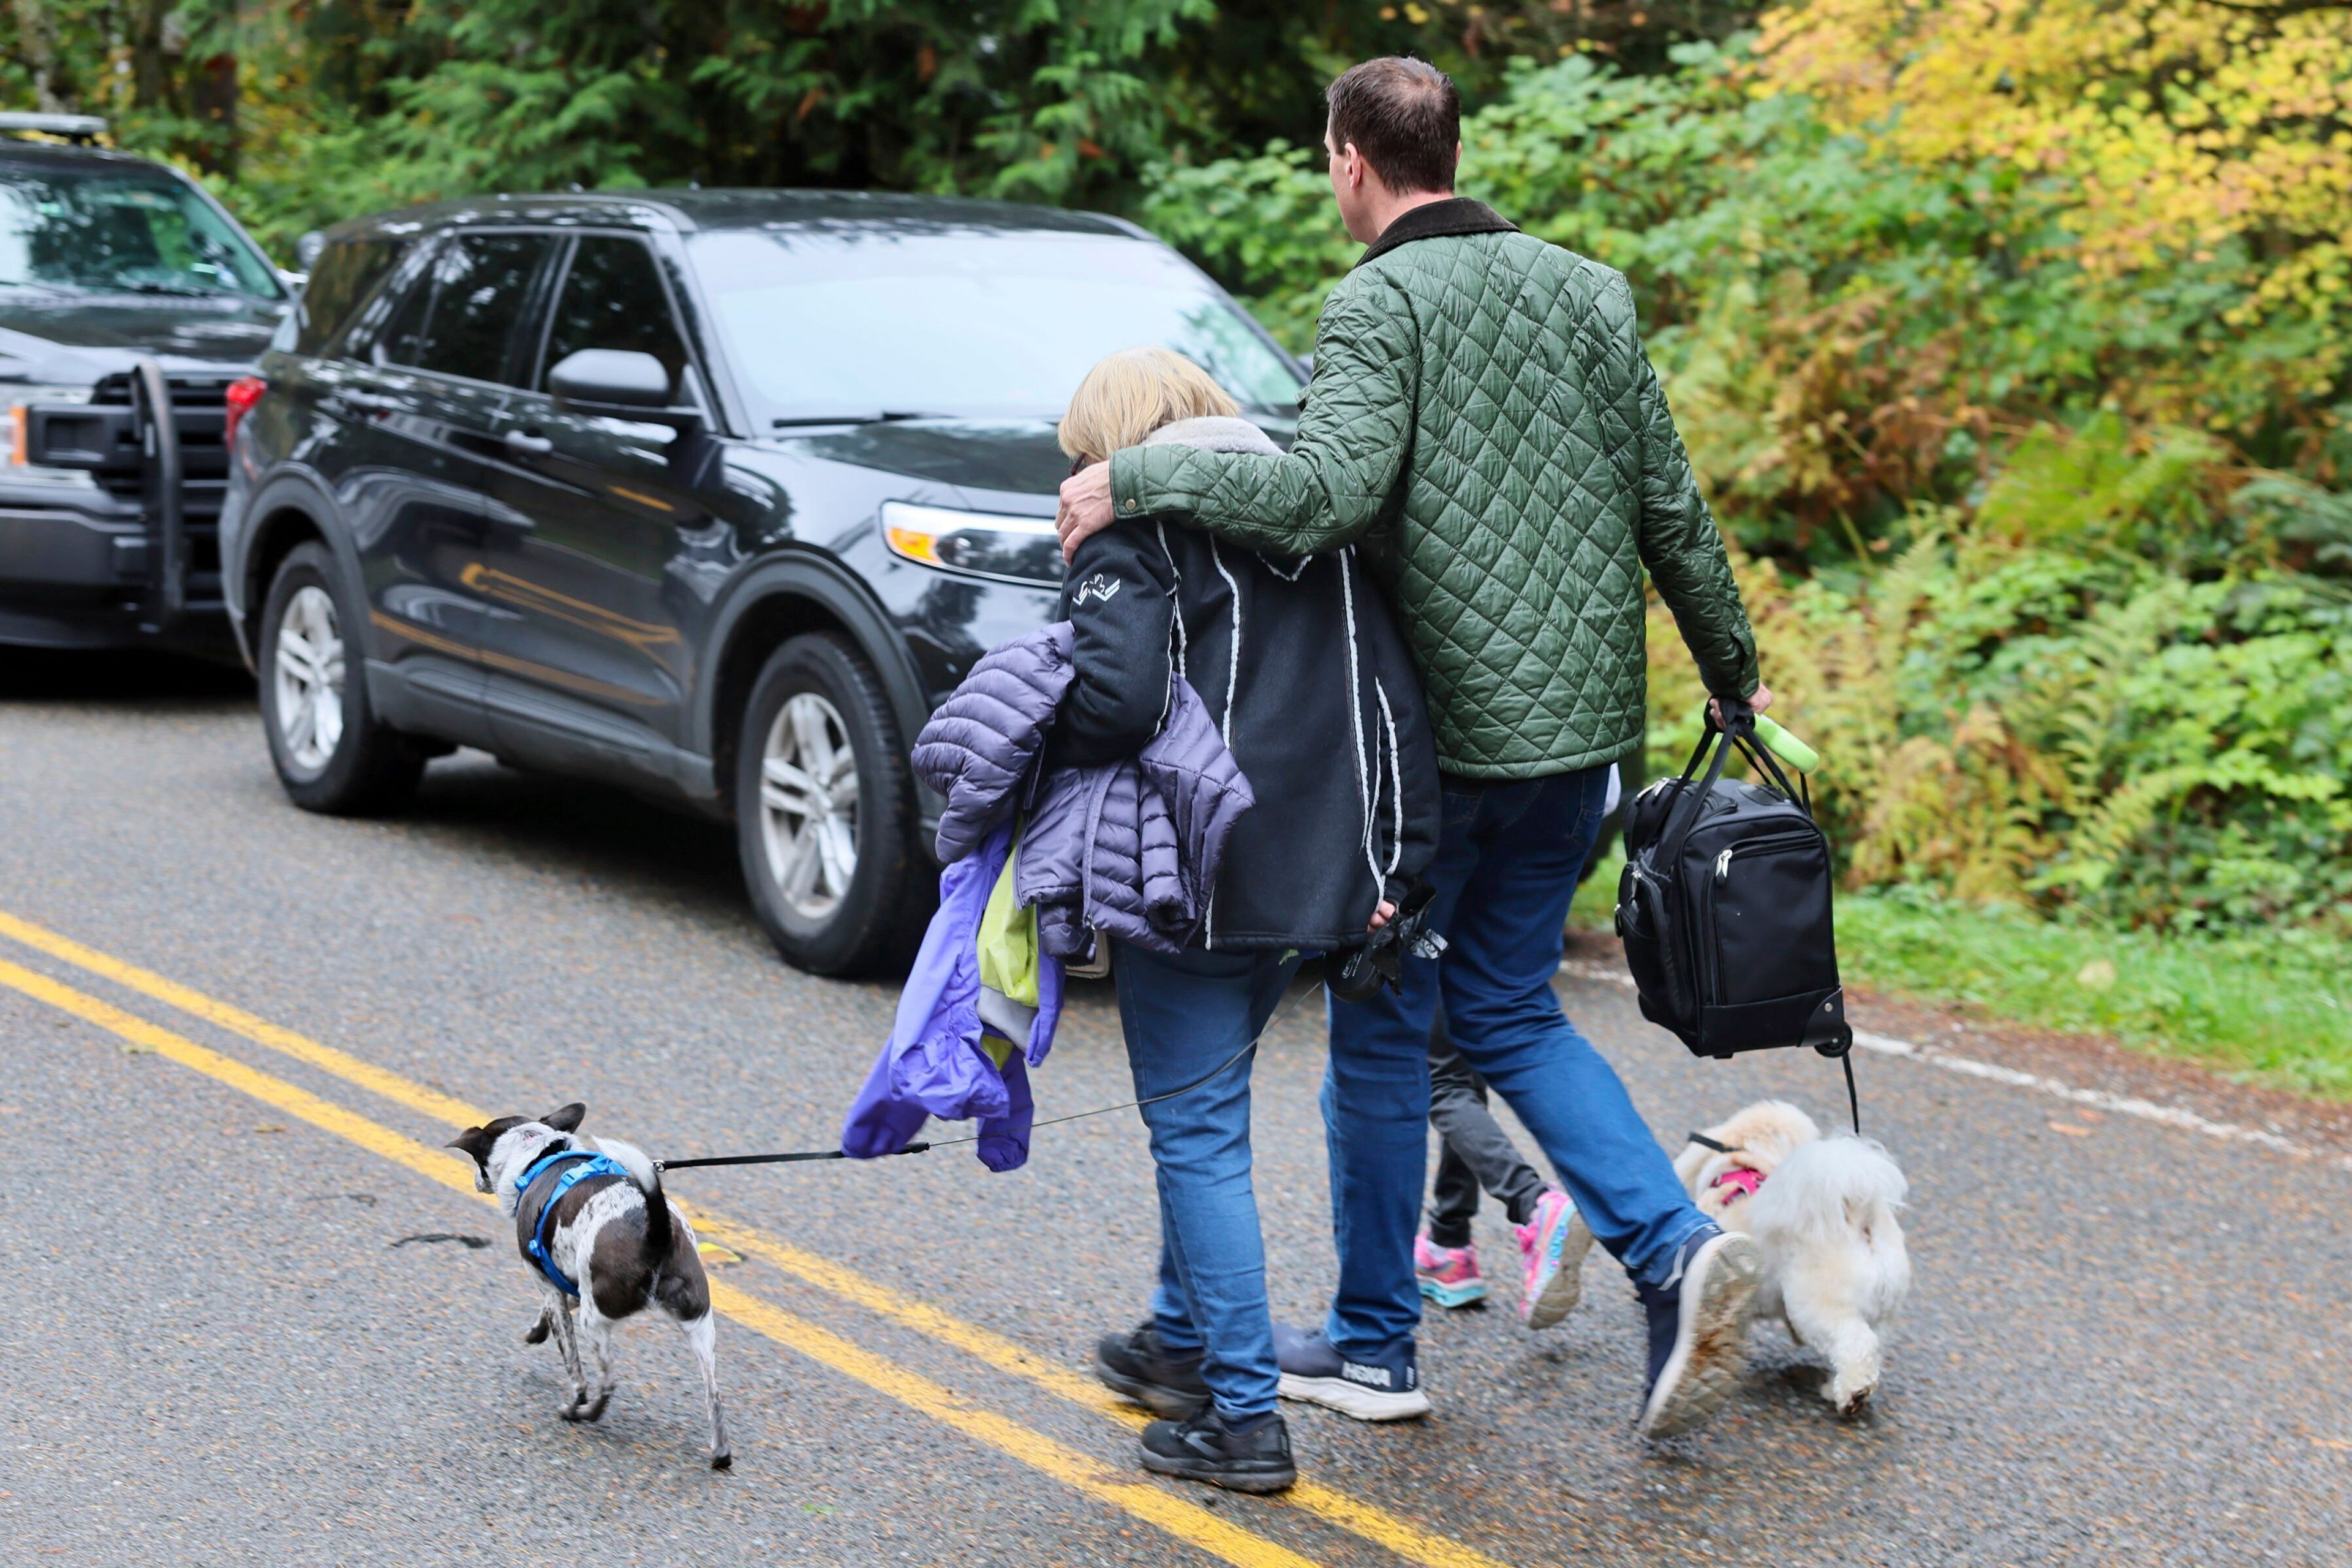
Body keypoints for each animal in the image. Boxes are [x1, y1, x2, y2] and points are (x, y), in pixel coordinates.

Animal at [444, 1104, 729, 1476]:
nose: (476, 1181)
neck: (538, 1157)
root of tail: (657, 1232)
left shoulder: (549, 1286)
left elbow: (573, 1366)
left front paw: (573, 1395)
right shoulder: (574, 1284)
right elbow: (559, 1308)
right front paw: (537, 1331)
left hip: (595, 1322)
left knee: (607, 1383)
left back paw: (581, 1414)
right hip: (700, 1327)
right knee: (715, 1396)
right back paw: (721, 1454)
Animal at [1675, 1100, 1910, 1420]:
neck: (1750, 1165)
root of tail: (1860, 1215)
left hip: (1816, 1307)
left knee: (1855, 1342)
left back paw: (1853, 1395)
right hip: (1881, 1311)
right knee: (1869, 1346)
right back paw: (1836, 1388)